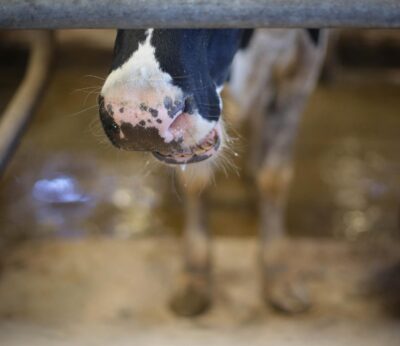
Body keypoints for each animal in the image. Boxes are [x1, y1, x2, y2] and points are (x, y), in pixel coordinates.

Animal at [98, 29, 326, 316]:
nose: (135, 119)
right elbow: (195, 181)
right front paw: (195, 277)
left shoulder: (303, 64)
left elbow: (274, 177)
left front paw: (279, 276)